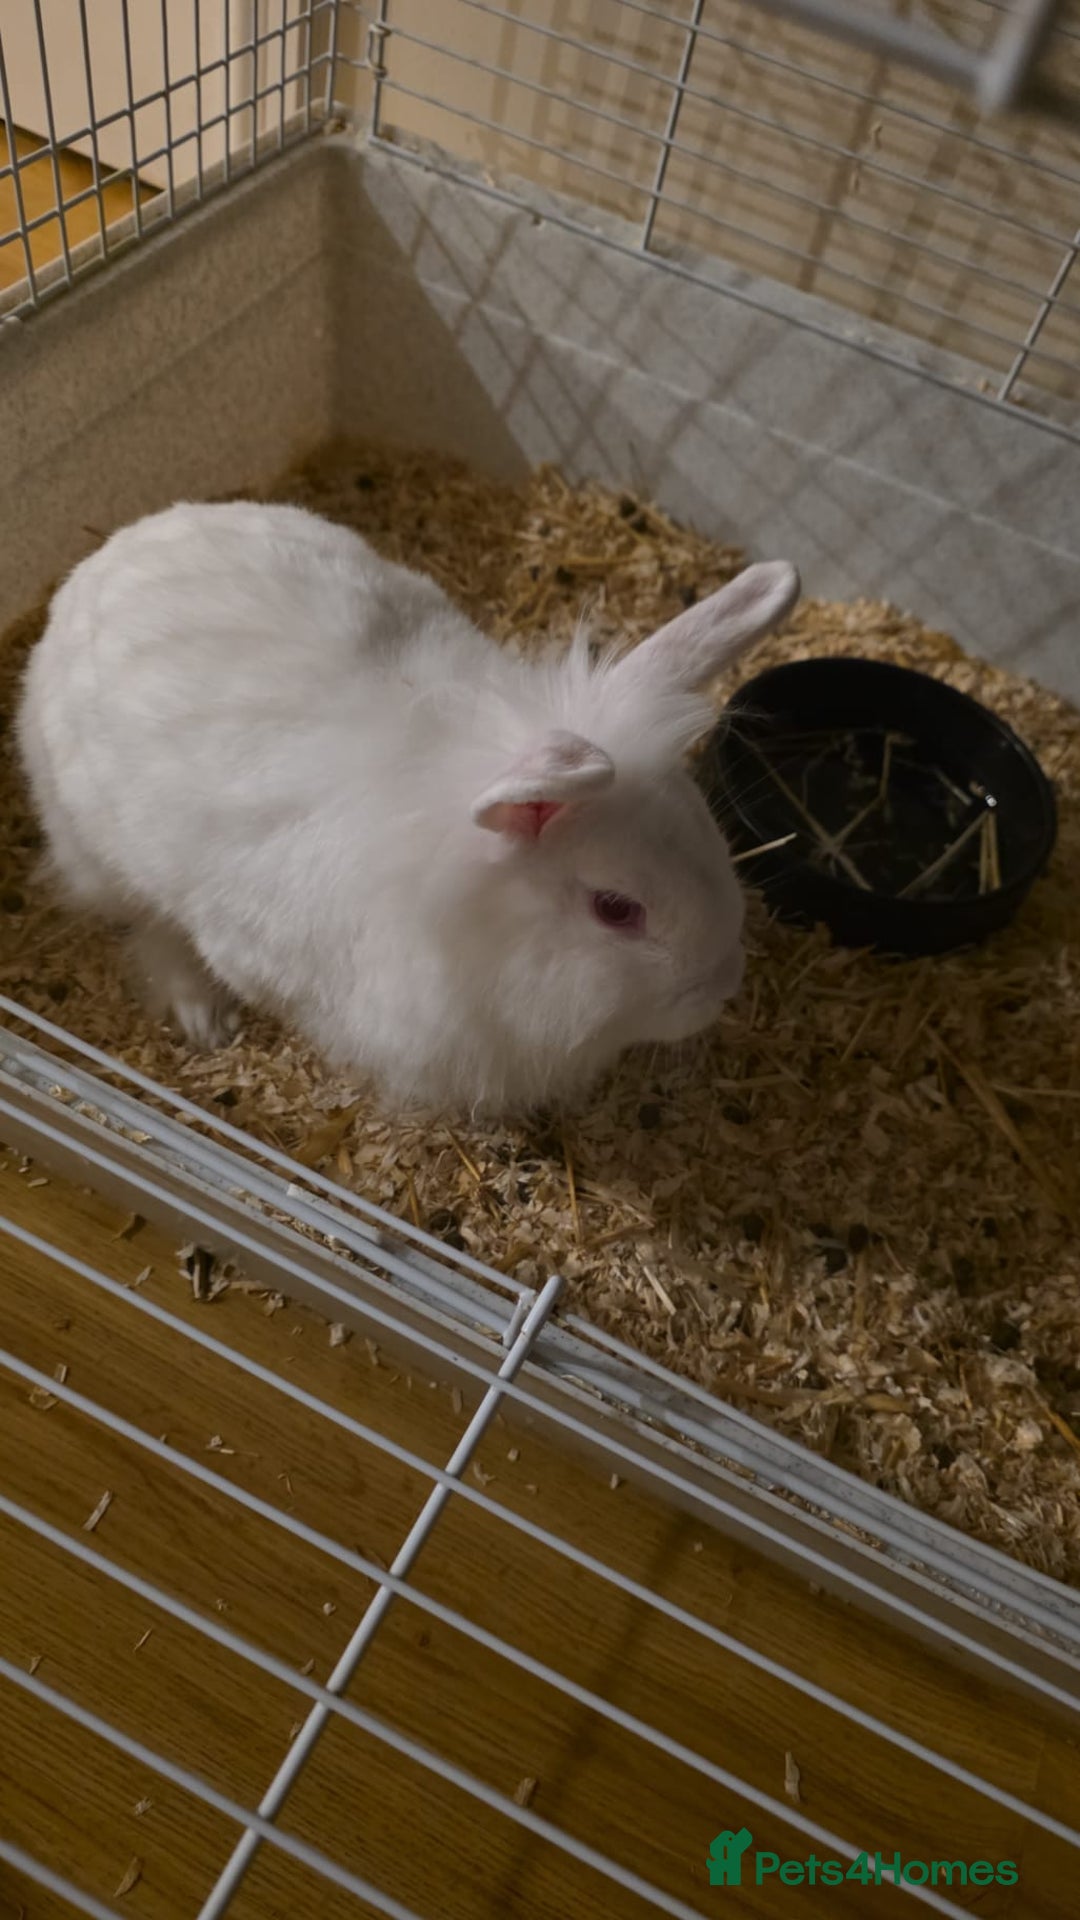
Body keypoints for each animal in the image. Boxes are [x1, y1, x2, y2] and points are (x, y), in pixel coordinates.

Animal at [16, 498, 800, 1117]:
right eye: (615, 909)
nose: (721, 986)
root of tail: (104, 557)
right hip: (102, 855)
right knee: (147, 927)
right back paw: (203, 1018)